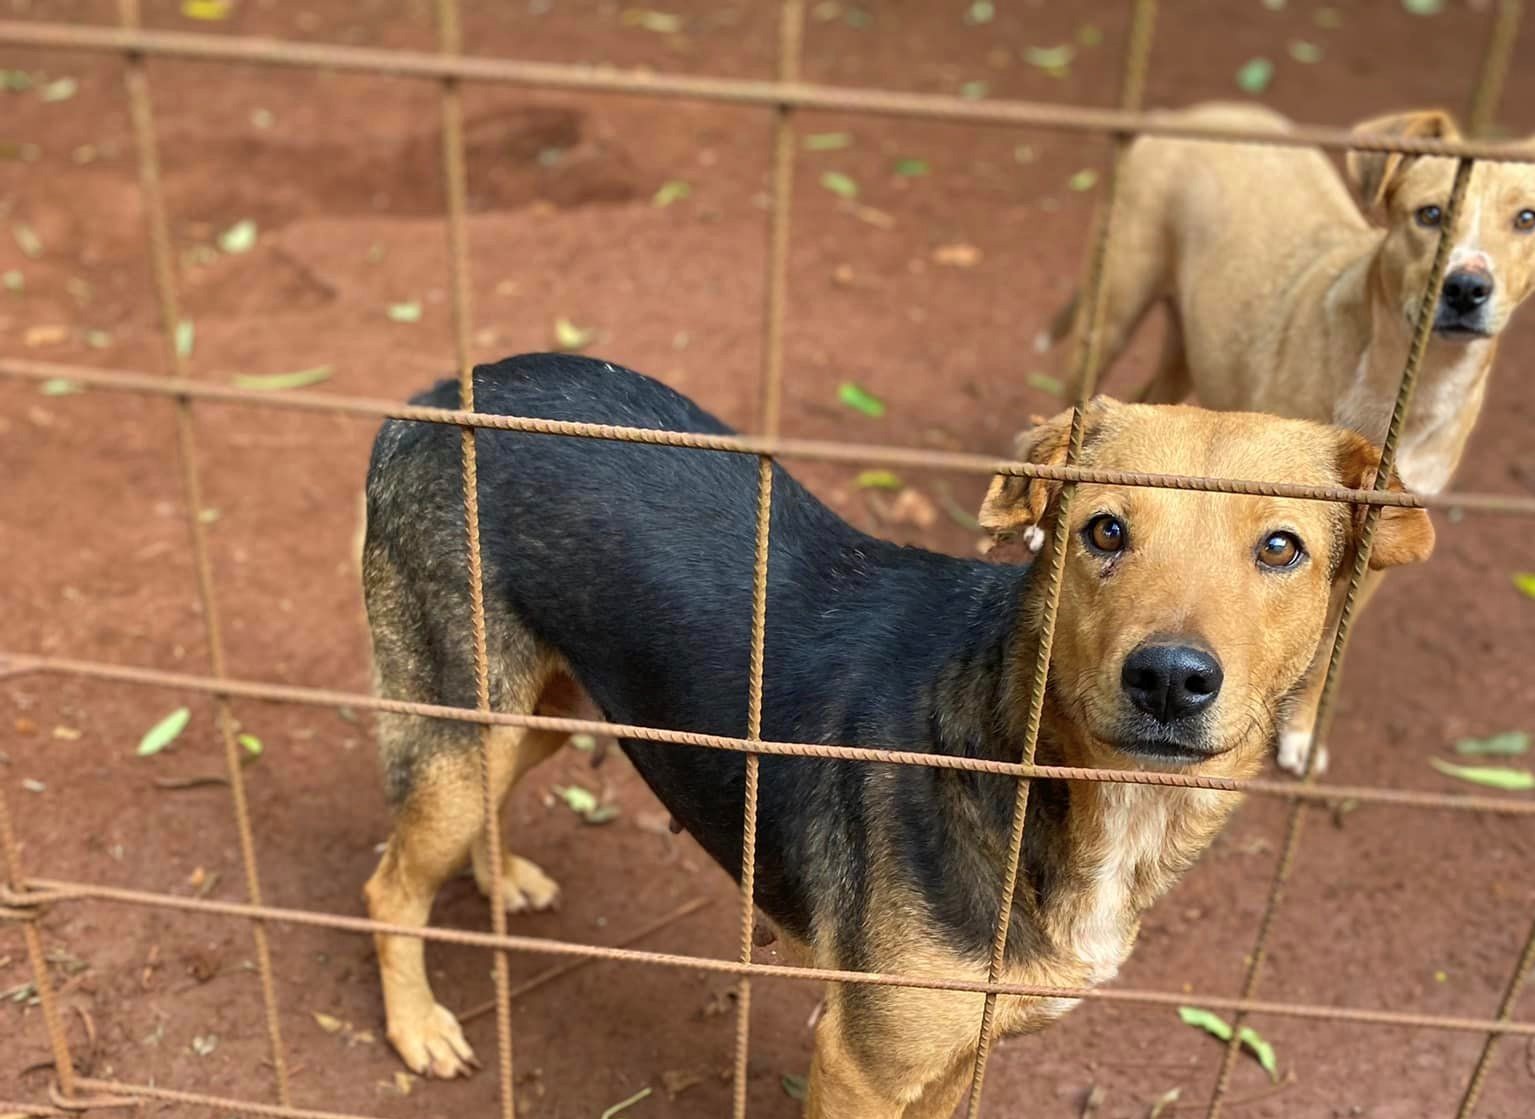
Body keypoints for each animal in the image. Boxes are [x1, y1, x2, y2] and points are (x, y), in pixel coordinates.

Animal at [356, 353, 1424, 1111]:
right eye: (1104, 531)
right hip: (468, 717)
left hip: (544, 704)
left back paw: (498, 874)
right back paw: (417, 1026)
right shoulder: (860, 1061)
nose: (1168, 677)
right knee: (388, 884)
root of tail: (436, 394)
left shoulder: (956, 1052)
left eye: (1280, 547)